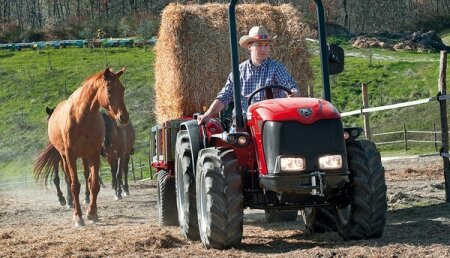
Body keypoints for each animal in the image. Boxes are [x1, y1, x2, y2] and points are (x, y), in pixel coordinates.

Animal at [34, 67, 128, 227]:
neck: (81, 117)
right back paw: (68, 202)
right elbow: (74, 185)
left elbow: (94, 184)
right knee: (68, 179)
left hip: (84, 156)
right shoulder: (70, 155)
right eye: (109, 90)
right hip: (64, 157)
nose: (124, 117)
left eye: (122, 89)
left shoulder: (94, 154)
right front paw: (78, 217)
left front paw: (92, 213)